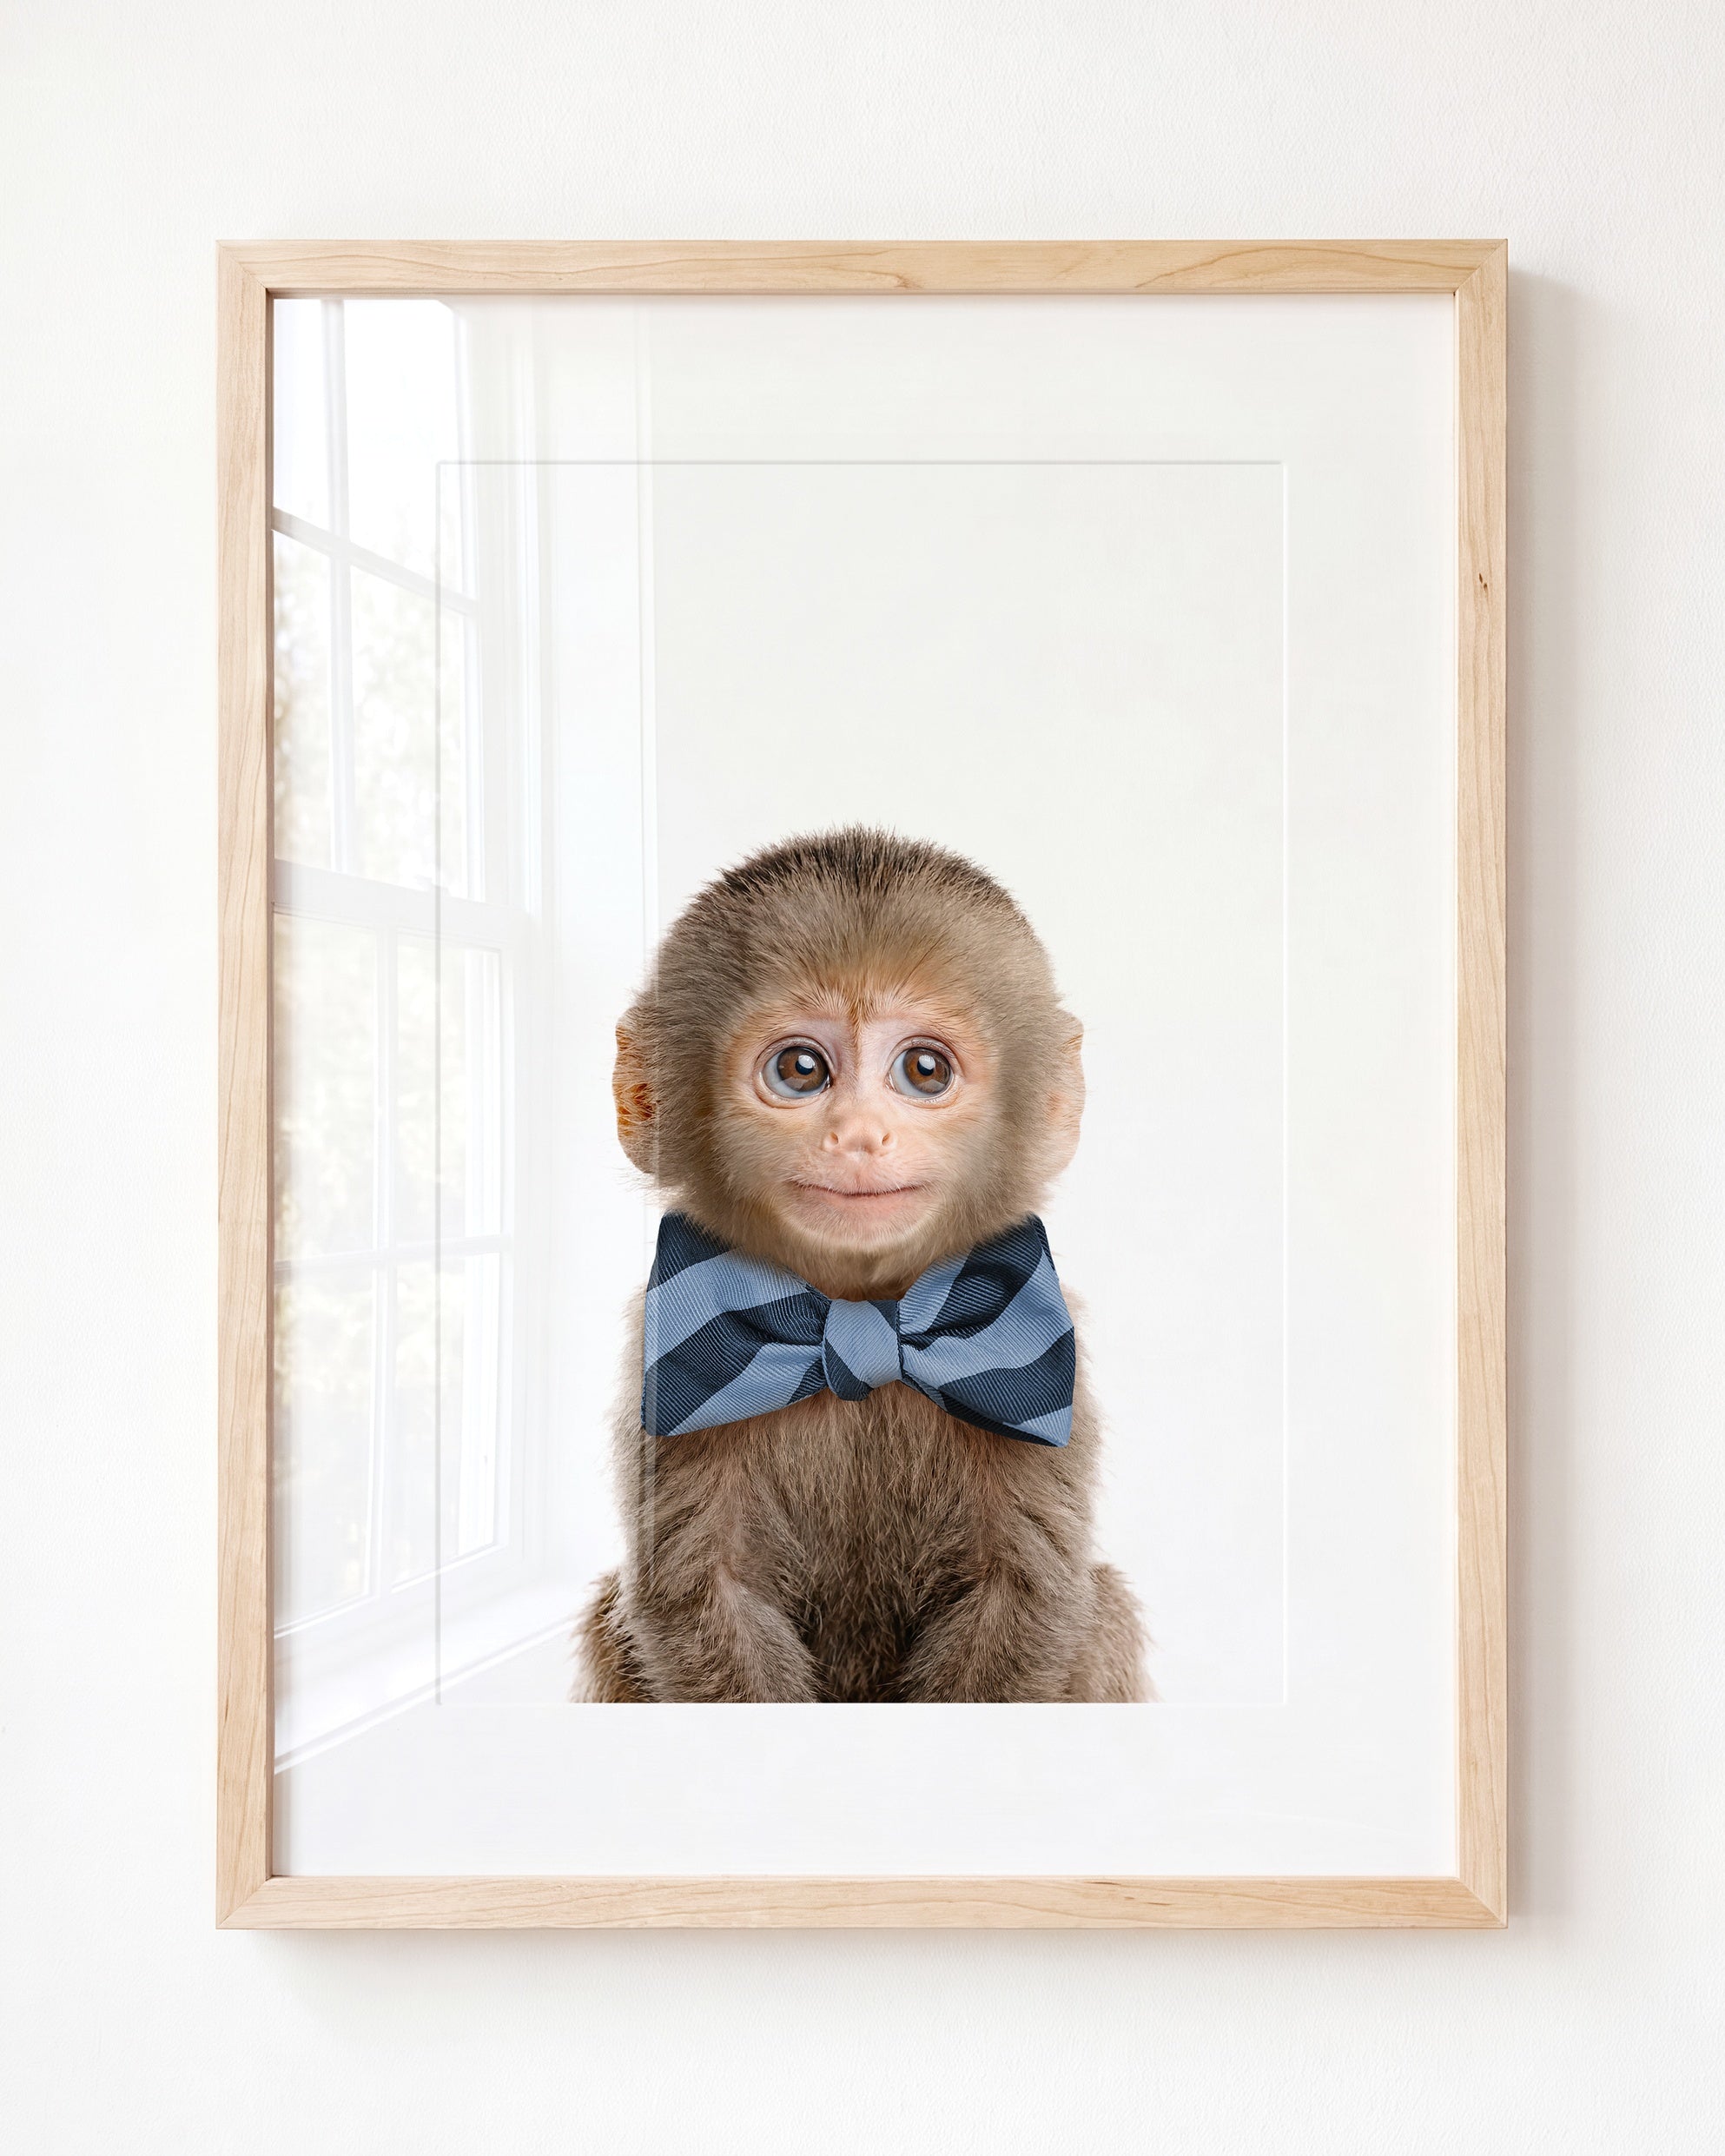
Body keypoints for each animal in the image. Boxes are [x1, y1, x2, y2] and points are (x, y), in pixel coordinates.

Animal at [572, 826, 1147, 1703]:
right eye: (801, 1069)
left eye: (924, 1070)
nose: (859, 1136)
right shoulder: (666, 1357)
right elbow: (702, 1596)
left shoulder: (1048, 1366)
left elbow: (1024, 1596)